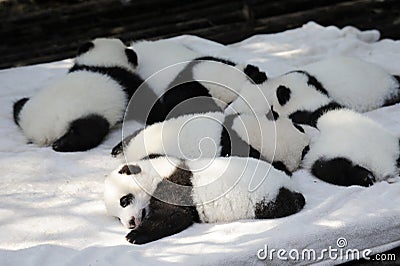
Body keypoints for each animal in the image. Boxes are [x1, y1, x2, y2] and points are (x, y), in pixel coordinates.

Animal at [13, 37, 142, 152]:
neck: (102, 62)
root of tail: (40, 133)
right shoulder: (126, 81)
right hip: (84, 115)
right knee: (90, 131)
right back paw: (61, 145)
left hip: (27, 109)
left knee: (18, 106)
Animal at [104, 156, 304, 245]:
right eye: (117, 218)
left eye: (124, 201)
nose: (130, 222)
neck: (155, 174)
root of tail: (290, 184)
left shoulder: (173, 184)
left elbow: (173, 216)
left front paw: (134, 236)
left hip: (264, 197)